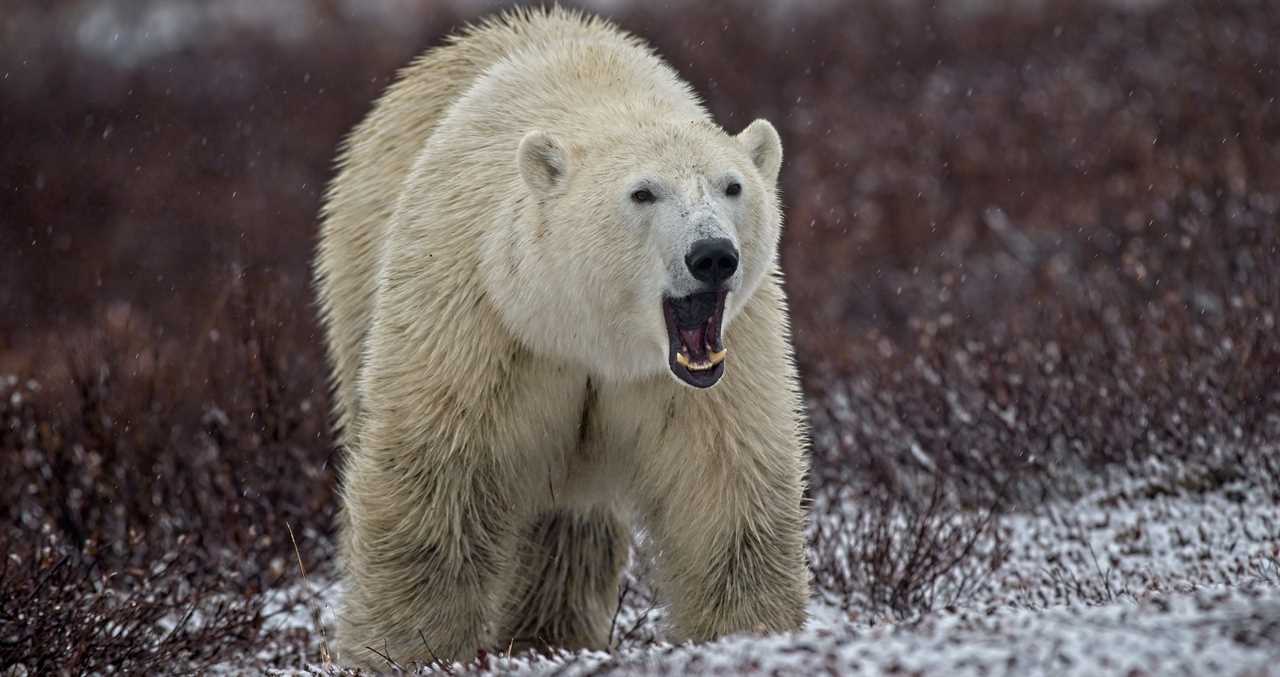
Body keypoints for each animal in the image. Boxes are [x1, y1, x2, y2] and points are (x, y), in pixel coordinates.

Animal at [313, 6, 809, 668]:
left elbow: (726, 483)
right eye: (643, 192)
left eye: (731, 186)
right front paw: (402, 649)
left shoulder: (714, 366)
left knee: (567, 524)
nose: (712, 256)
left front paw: (751, 633)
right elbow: (435, 480)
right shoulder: (480, 321)